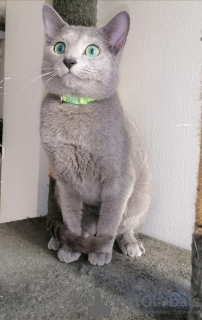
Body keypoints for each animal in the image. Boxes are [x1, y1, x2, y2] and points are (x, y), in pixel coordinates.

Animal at [40, 3, 154, 266]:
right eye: (59, 47)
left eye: (92, 50)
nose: (68, 60)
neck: (77, 108)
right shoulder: (65, 179)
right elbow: (71, 215)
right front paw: (70, 247)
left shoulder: (119, 182)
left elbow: (110, 222)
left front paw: (101, 251)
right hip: (57, 190)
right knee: (79, 224)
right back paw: (64, 239)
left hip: (141, 196)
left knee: (124, 227)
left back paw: (130, 244)